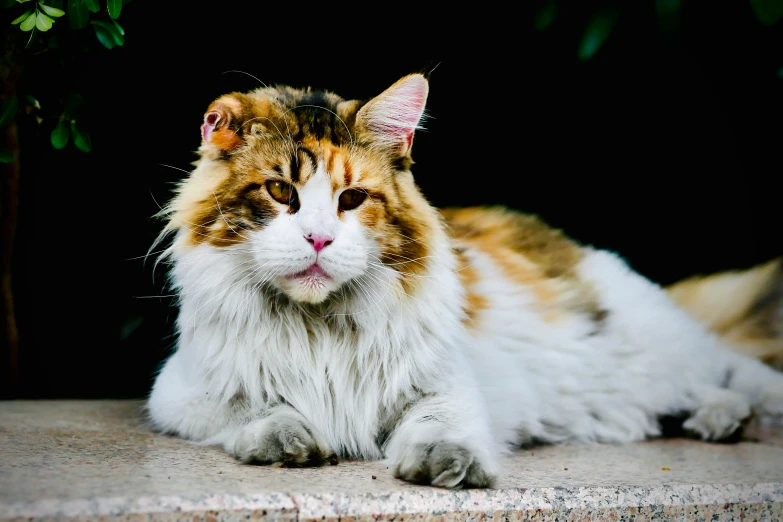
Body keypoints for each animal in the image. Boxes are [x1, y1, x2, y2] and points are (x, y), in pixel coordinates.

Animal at [149, 71, 783, 486]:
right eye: (282, 191)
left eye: (352, 200)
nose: (320, 239)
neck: (320, 326)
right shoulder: (181, 391)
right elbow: (253, 407)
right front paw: (288, 438)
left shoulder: (444, 385)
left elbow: (440, 425)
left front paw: (445, 464)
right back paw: (714, 419)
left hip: (650, 349)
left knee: (732, 367)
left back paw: (725, 417)